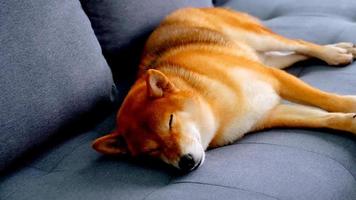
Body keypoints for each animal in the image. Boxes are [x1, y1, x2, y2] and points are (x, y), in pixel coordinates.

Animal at [92, 7, 356, 172]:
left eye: (170, 122)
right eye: (151, 152)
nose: (185, 162)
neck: (217, 110)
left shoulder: (275, 79)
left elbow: (328, 100)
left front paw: (350, 104)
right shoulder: (271, 113)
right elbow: (327, 119)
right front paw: (350, 122)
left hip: (256, 39)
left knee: (300, 44)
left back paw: (334, 52)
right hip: (266, 58)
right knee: (293, 54)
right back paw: (339, 51)